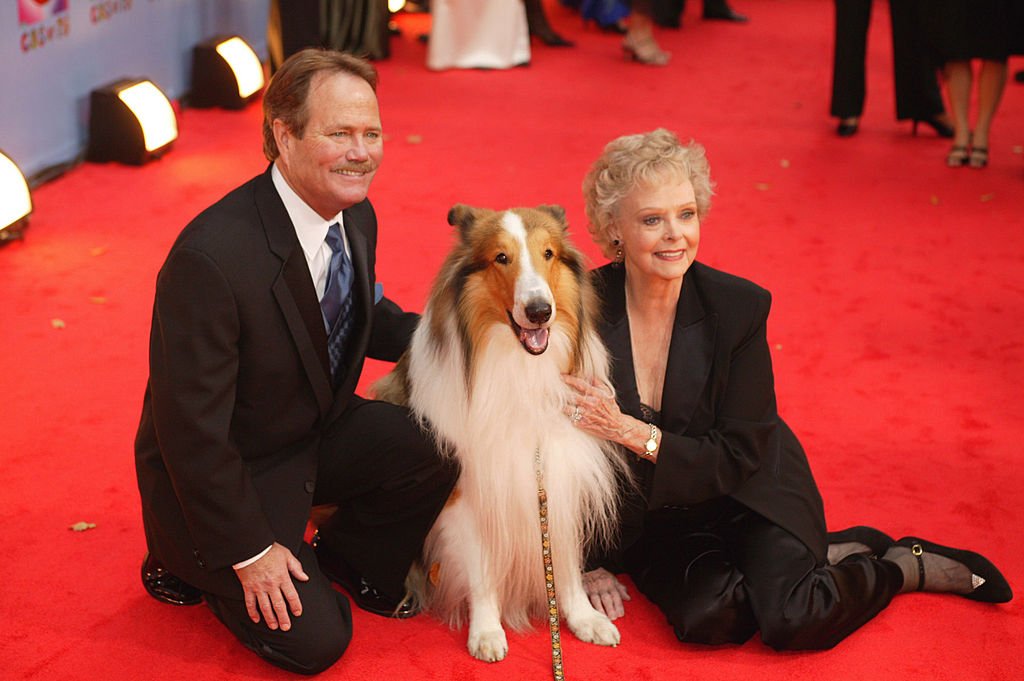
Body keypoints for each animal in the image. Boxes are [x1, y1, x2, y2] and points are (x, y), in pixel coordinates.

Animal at [376, 204, 626, 659]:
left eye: (548, 254)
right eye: (501, 258)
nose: (540, 311)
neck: (519, 368)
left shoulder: (557, 475)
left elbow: (565, 563)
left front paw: (584, 618)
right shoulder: (468, 493)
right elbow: (481, 571)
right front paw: (487, 630)